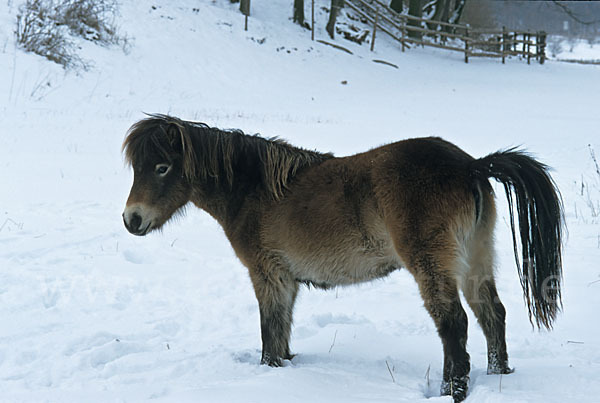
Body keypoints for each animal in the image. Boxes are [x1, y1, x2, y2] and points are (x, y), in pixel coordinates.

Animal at [120, 115, 564, 402]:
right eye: (137, 167)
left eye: (162, 167)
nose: (132, 220)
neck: (254, 190)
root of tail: (472, 166)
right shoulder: (288, 280)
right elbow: (282, 333)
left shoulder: (268, 276)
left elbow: (269, 334)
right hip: (475, 258)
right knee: (492, 314)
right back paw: (498, 374)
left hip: (432, 265)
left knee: (454, 323)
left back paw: (449, 392)